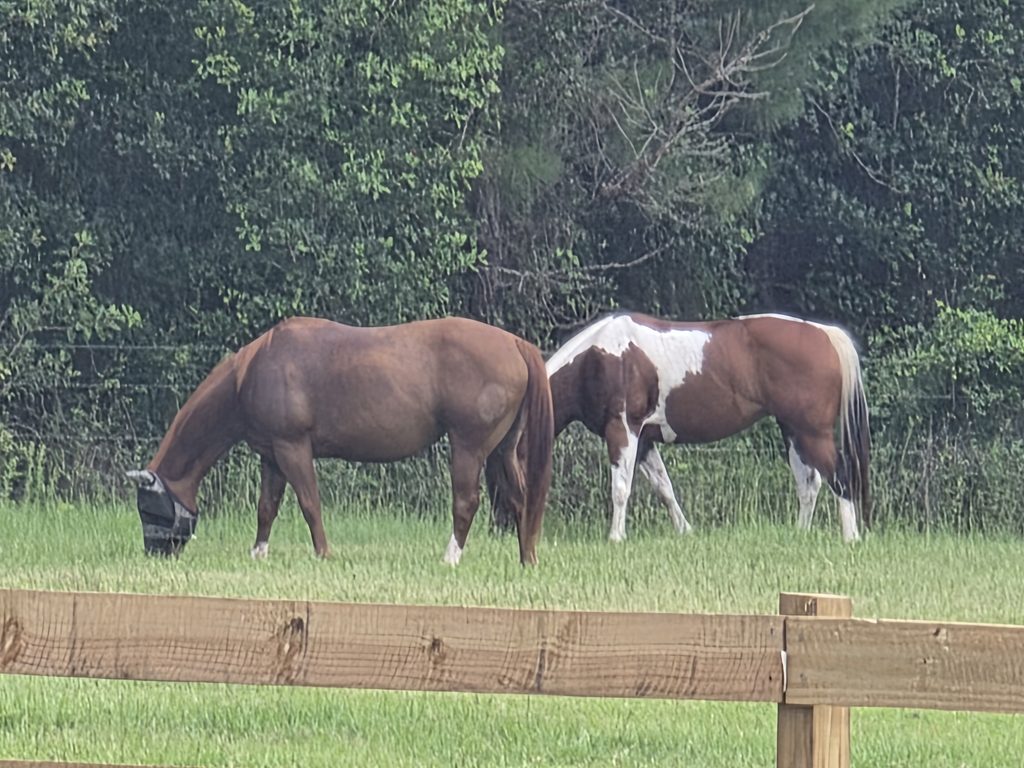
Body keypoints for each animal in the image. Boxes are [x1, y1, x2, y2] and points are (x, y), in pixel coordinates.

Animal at [126, 316, 554, 565]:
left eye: (148, 508)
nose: (154, 553)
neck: (252, 372)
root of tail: (516, 344)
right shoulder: (271, 455)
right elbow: (266, 507)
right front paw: (258, 553)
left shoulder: (292, 448)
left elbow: (309, 503)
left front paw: (323, 553)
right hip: (502, 450)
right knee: (521, 499)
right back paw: (526, 558)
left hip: (468, 447)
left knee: (467, 502)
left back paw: (450, 557)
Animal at [545, 312, 870, 543]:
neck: (596, 358)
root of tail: (824, 333)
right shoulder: (645, 440)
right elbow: (664, 487)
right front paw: (684, 530)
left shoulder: (623, 430)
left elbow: (621, 488)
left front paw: (615, 537)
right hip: (794, 432)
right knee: (810, 484)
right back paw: (801, 534)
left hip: (813, 434)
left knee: (840, 477)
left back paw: (850, 537)